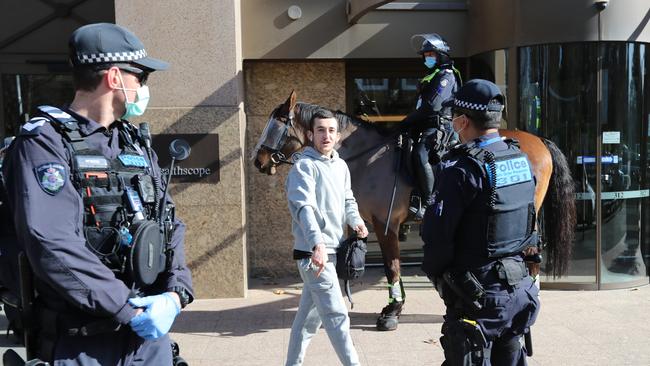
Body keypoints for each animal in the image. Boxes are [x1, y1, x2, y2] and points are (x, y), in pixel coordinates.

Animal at [251, 91, 576, 328]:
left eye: (276, 123)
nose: (258, 160)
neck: (368, 157)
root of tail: (538, 139)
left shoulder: (385, 226)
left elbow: (392, 266)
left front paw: (393, 310)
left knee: (531, 254)